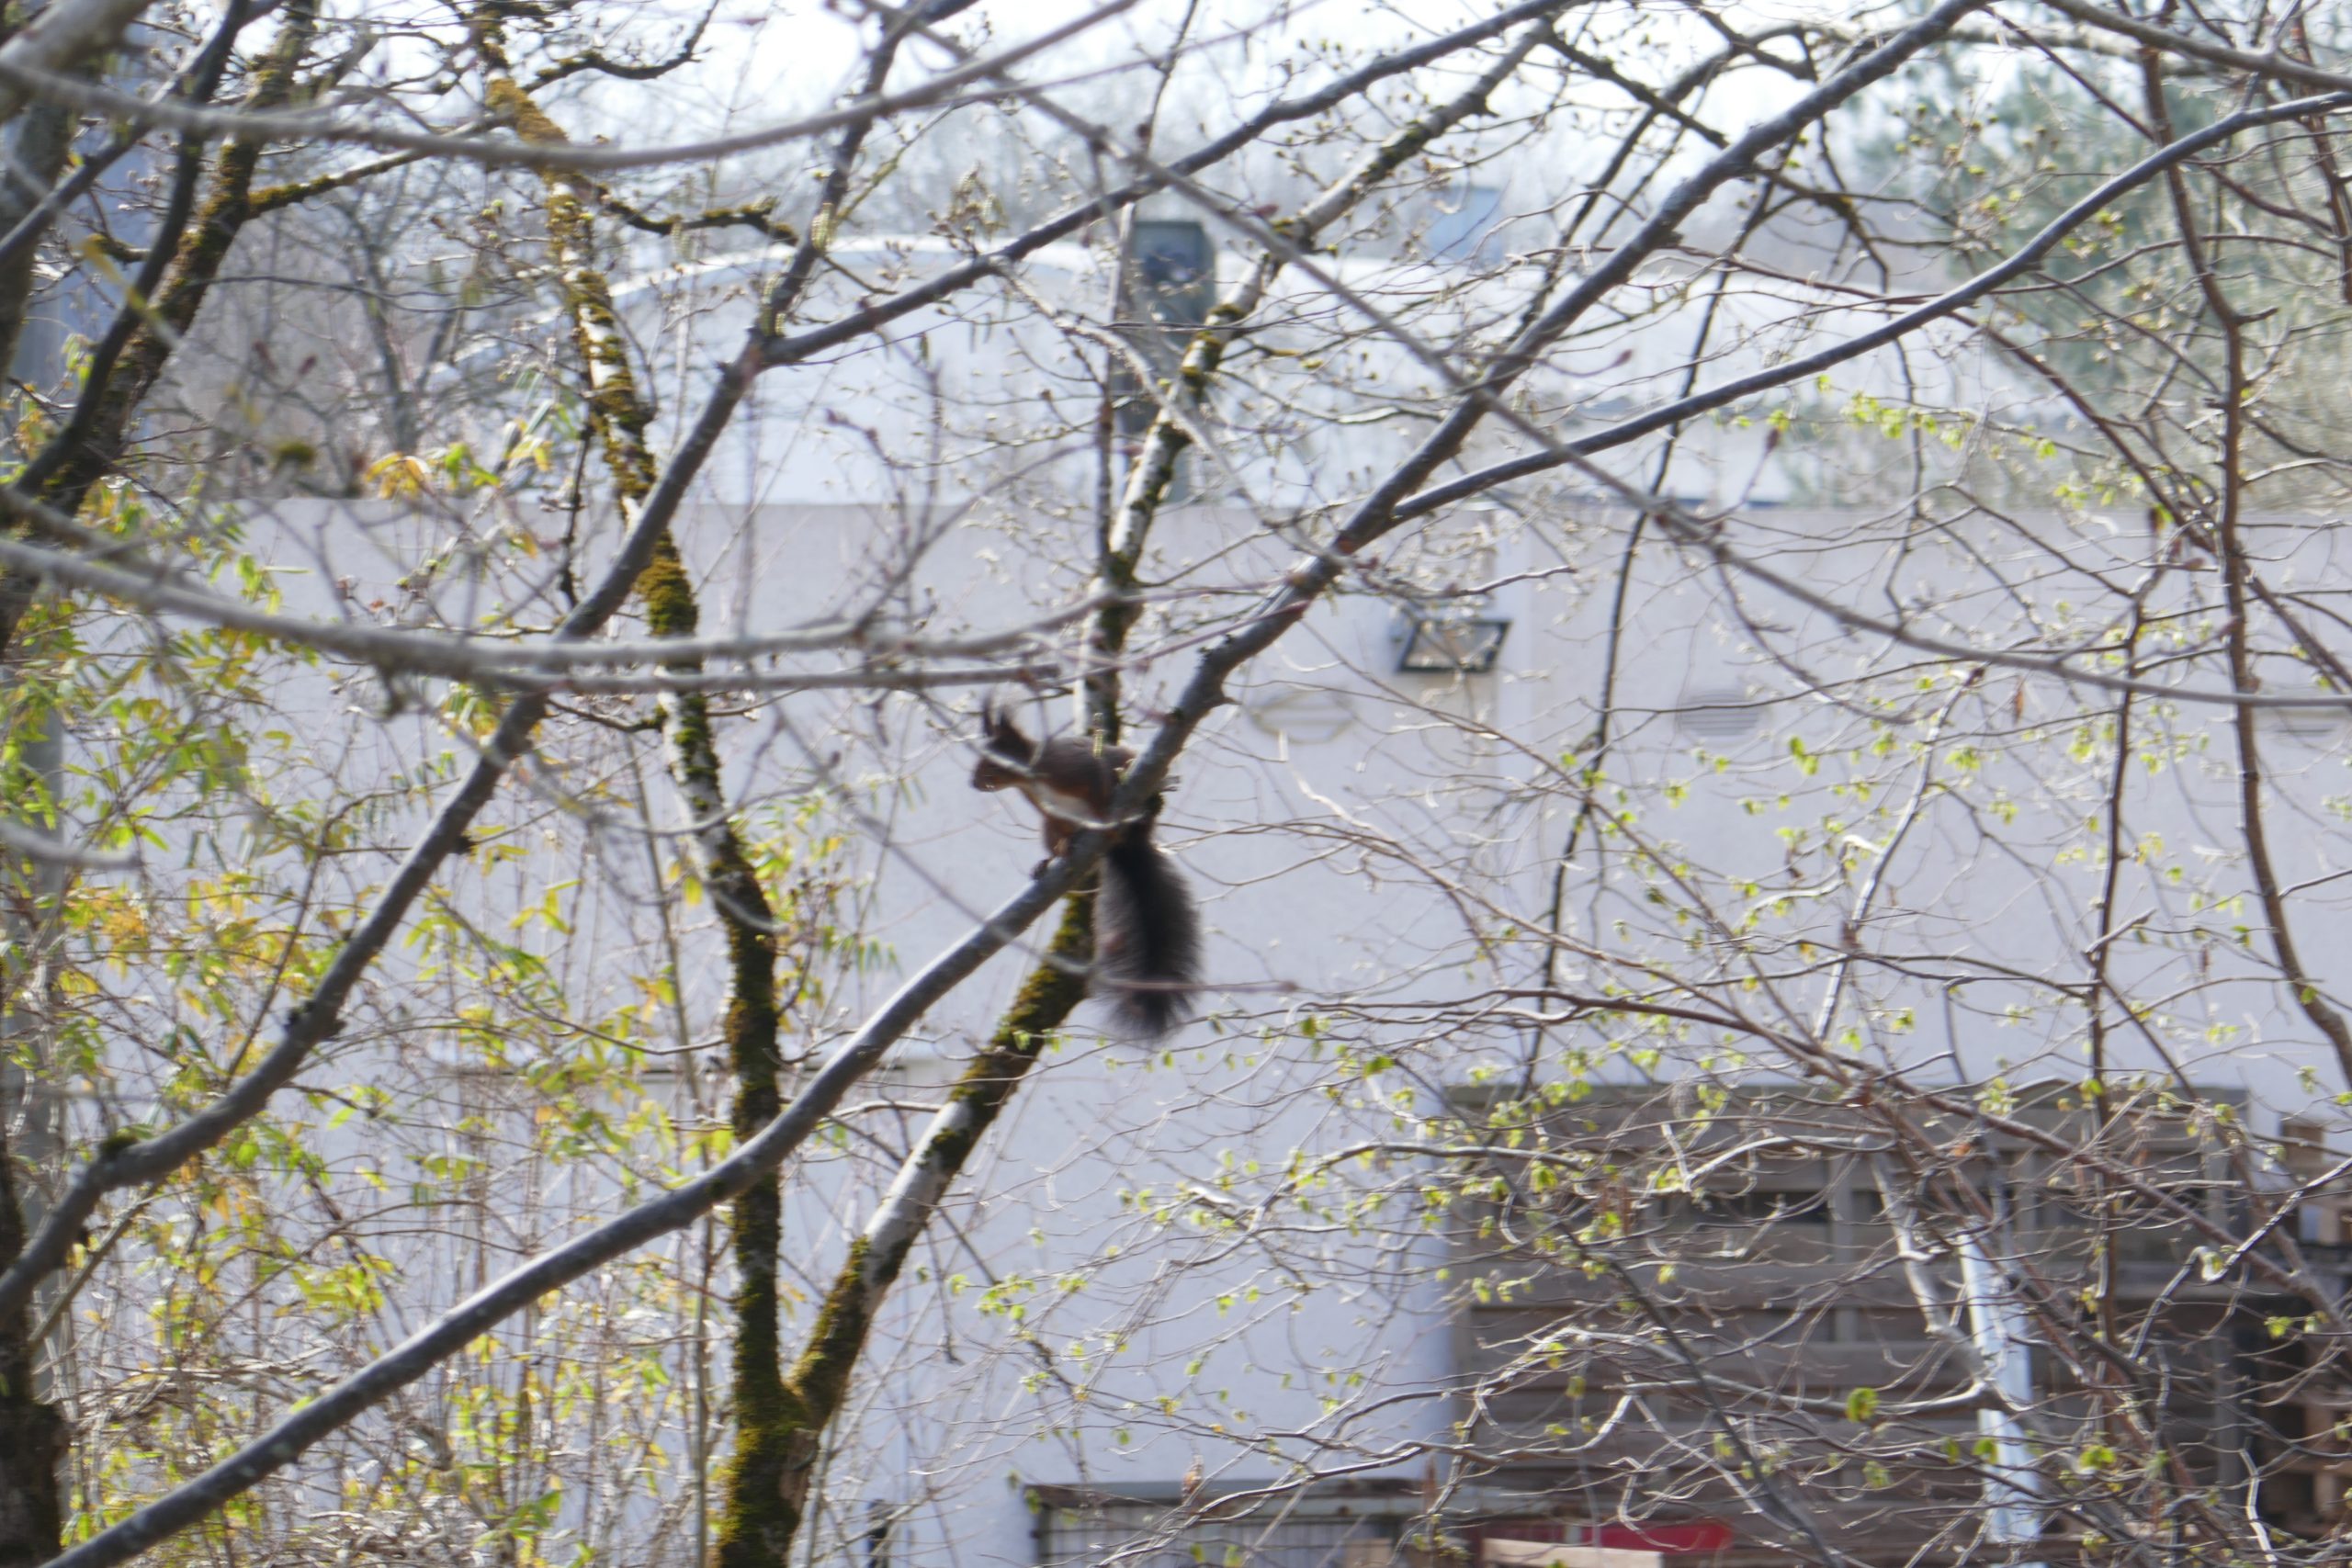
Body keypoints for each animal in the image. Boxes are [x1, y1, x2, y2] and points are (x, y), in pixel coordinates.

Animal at [971, 703, 1202, 1037]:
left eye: (992, 760)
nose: (973, 782)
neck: (1031, 779)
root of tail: (1132, 845)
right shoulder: (1050, 813)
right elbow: (1060, 830)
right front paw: (1056, 853)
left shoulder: (1077, 767)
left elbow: (1099, 782)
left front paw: (1104, 811)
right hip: (1047, 827)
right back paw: (1049, 861)